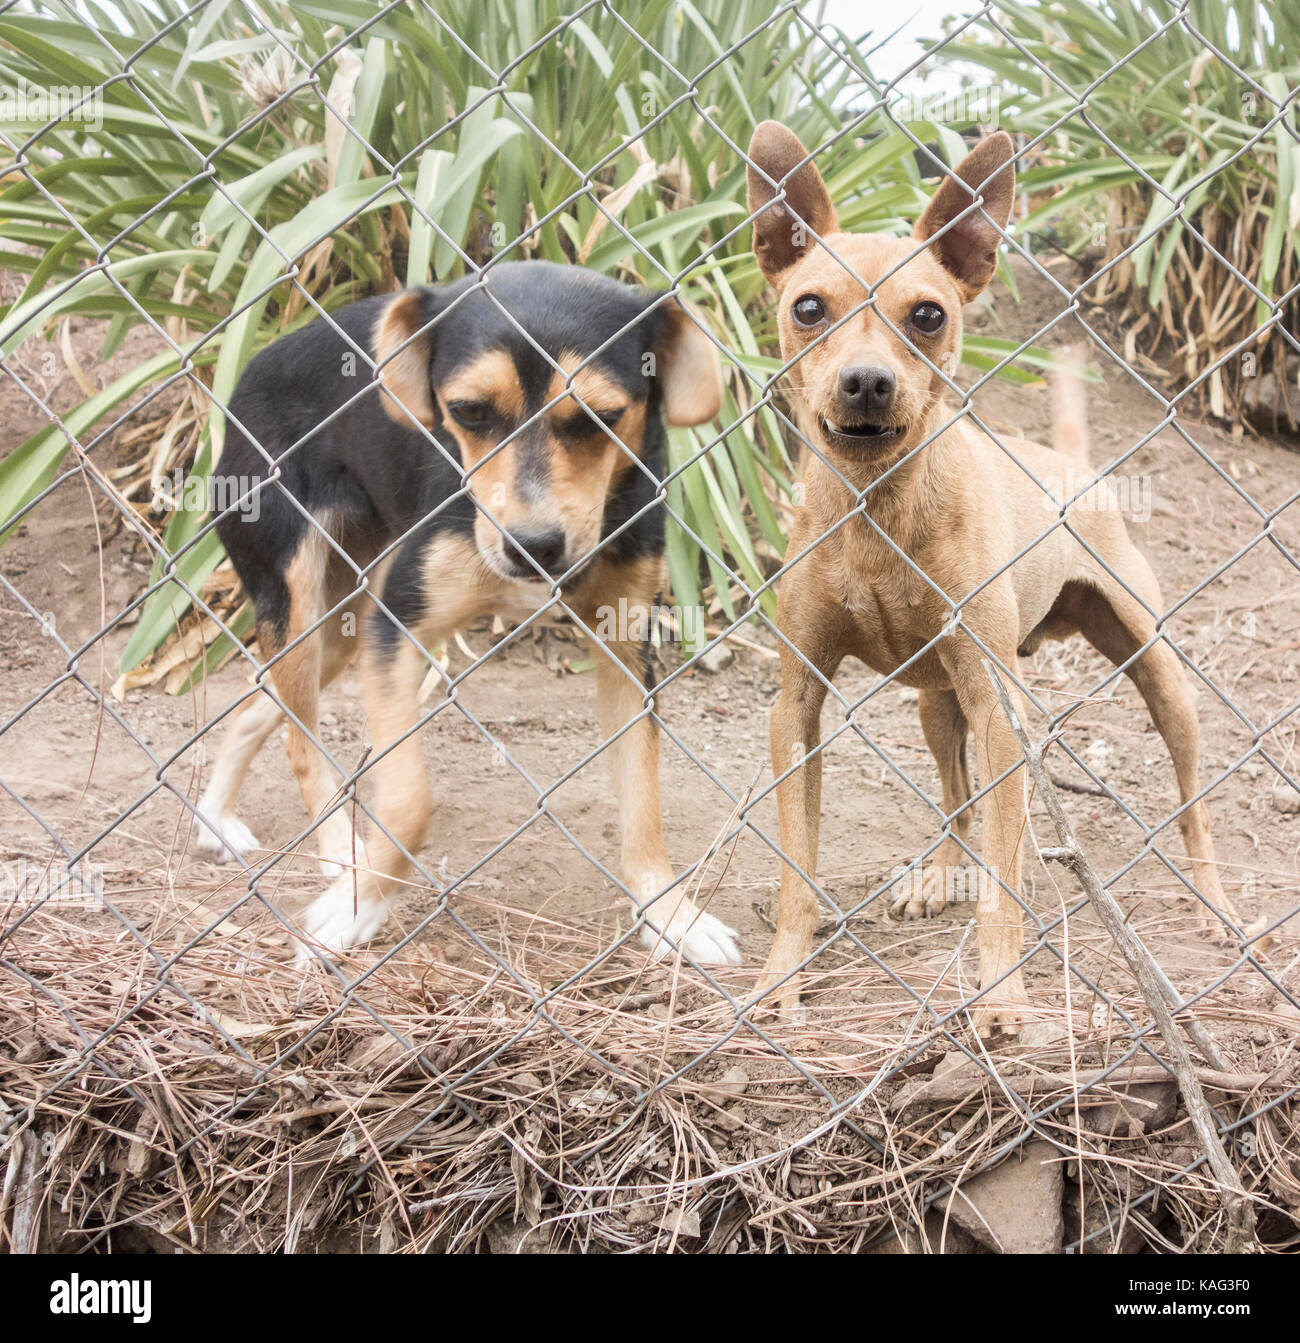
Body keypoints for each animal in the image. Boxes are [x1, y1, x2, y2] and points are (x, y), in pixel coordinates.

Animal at [194, 259, 741, 966]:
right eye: (468, 413)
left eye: (601, 417)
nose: (532, 546)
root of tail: (248, 373)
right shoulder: (398, 628)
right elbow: (408, 805)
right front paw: (355, 908)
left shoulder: (627, 650)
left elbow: (644, 803)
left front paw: (671, 914)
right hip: (300, 596)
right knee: (298, 738)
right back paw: (342, 854)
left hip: (341, 624)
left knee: (261, 705)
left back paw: (215, 815)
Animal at [746, 123, 1246, 1026]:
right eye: (807, 308)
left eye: (929, 315)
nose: (866, 382)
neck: (878, 514)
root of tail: (1070, 466)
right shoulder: (796, 709)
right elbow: (798, 868)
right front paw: (780, 976)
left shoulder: (1000, 715)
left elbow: (1005, 882)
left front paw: (1003, 992)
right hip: (938, 702)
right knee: (958, 799)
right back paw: (942, 869)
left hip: (1156, 677)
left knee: (1188, 804)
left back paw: (1213, 901)